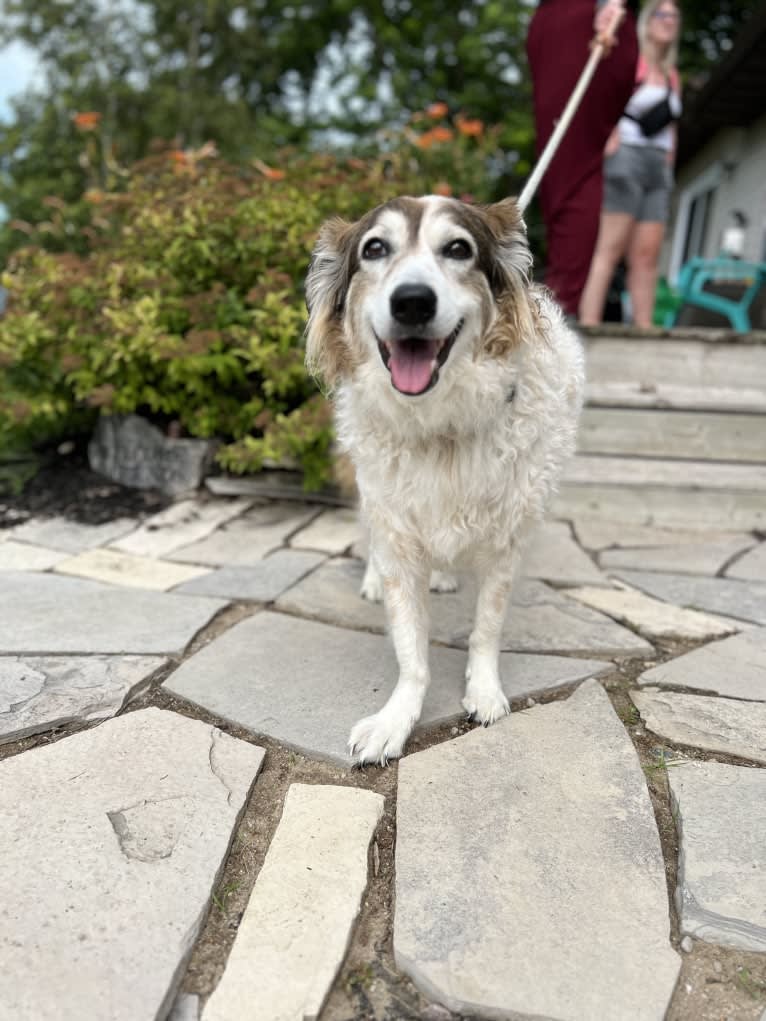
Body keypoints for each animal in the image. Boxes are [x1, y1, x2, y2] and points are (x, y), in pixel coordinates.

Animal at [302, 195, 584, 763]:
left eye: (458, 249)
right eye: (374, 249)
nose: (412, 302)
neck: (440, 426)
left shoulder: (507, 541)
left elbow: (486, 627)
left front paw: (485, 691)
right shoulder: (397, 528)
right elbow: (411, 647)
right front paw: (395, 719)